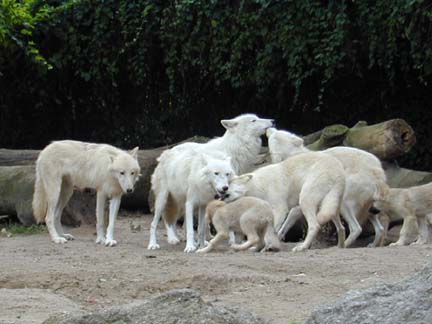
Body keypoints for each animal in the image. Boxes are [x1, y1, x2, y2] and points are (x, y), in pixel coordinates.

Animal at [148, 114, 274, 253]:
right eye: (253, 120)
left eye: (257, 118)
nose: (273, 121)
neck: (233, 148)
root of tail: (166, 152)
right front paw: (230, 240)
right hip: (166, 197)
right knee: (164, 218)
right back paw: (168, 240)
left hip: (180, 198)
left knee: (174, 218)